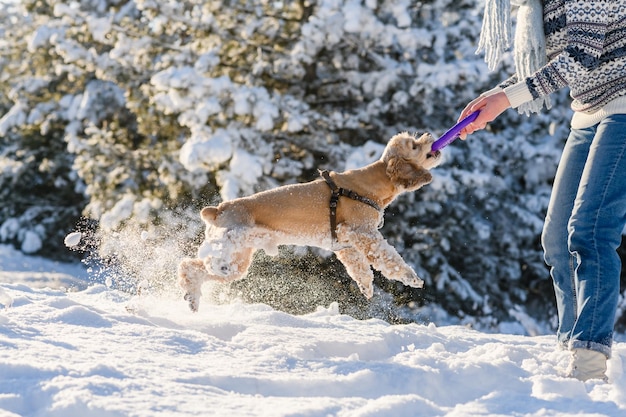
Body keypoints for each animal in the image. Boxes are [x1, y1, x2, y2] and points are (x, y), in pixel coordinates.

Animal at [177, 132, 438, 310]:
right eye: (414, 145)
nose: (429, 135)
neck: (372, 184)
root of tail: (217, 209)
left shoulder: (346, 244)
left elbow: (360, 268)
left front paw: (366, 287)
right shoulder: (363, 233)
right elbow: (389, 258)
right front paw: (412, 278)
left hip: (238, 261)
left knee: (192, 267)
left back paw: (192, 298)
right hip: (229, 252)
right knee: (194, 265)